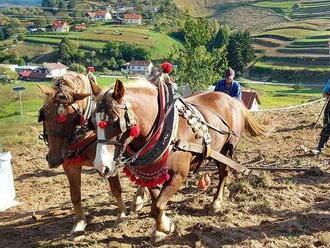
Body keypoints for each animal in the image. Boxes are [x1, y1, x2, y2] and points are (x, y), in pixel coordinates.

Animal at [37, 72, 129, 236]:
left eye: (73, 117)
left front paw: (122, 214)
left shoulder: (110, 163)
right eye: (44, 114)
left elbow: (116, 189)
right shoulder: (70, 165)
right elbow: (75, 195)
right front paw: (79, 223)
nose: (54, 159)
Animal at [91, 75, 266, 242]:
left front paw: (164, 228)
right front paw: (163, 226)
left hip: (227, 149)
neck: (164, 128)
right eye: (93, 122)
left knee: (224, 173)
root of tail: (233, 101)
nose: (101, 167)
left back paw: (216, 203)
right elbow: (156, 202)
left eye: (115, 122)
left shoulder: (178, 175)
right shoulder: (151, 174)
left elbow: (157, 206)